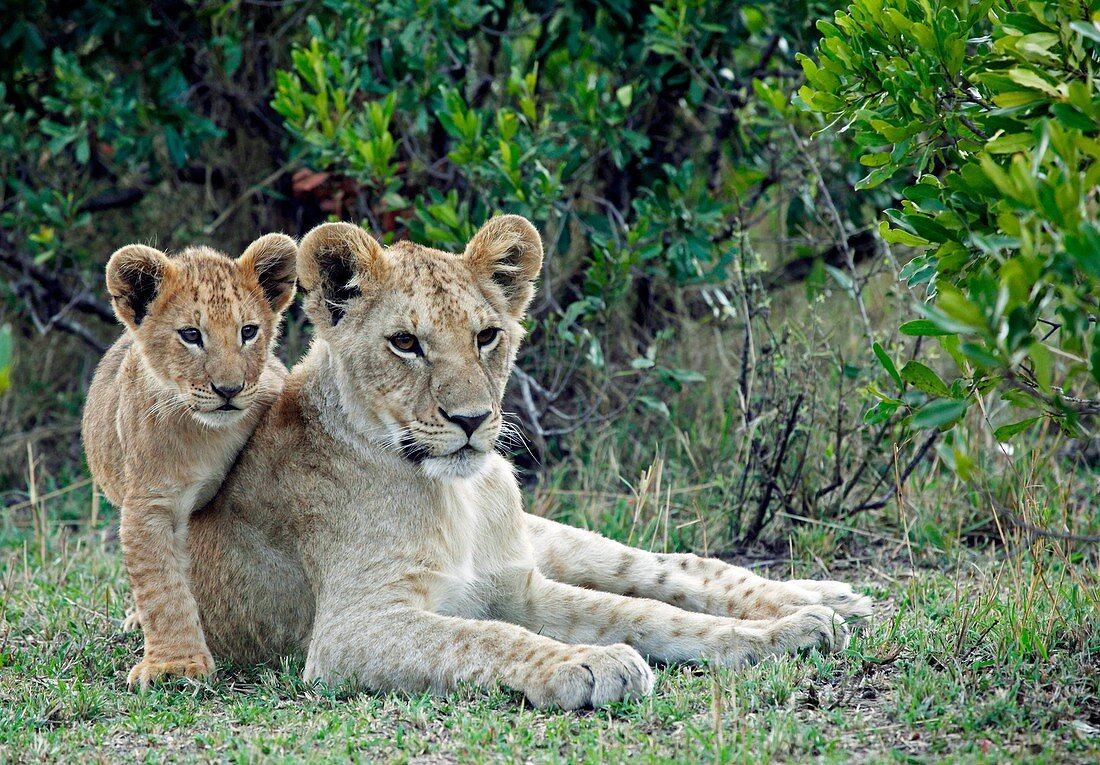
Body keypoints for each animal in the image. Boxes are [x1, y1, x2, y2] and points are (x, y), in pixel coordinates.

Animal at [81, 233, 297, 686]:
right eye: (191, 334)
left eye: (248, 331)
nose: (229, 389)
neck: (206, 434)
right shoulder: (151, 503)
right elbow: (161, 586)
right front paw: (174, 665)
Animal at [162, 212, 866, 708]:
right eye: (405, 343)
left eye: (486, 335)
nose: (472, 420)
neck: (454, 497)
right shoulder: (349, 631)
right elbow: (487, 636)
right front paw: (588, 663)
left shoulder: (515, 584)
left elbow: (644, 612)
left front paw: (778, 637)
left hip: (557, 540)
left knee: (672, 567)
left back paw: (823, 599)